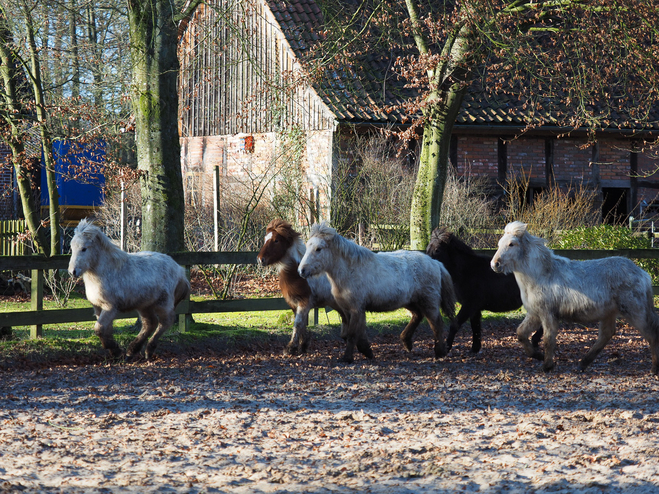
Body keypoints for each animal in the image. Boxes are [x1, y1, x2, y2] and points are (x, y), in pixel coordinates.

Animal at [68, 219, 189, 358]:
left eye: (84, 249)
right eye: (72, 248)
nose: (72, 272)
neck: (105, 272)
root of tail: (179, 270)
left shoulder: (110, 307)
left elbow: (99, 329)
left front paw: (116, 350)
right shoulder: (98, 307)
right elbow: (105, 330)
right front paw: (115, 351)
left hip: (163, 304)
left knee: (165, 322)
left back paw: (149, 349)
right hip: (145, 305)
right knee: (150, 323)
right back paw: (132, 350)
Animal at [258, 220, 350, 356]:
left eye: (276, 240)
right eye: (265, 239)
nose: (260, 259)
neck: (298, 275)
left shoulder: (304, 302)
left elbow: (298, 323)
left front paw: (290, 348)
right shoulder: (293, 304)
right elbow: (301, 324)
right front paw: (302, 345)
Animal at [298, 223, 456, 362]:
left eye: (319, 249)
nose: (302, 270)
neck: (350, 270)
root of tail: (435, 263)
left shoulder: (356, 309)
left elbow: (352, 335)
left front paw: (347, 358)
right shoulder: (351, 310)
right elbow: (355, 334)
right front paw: (366, 351)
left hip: (429, 302)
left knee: (436, 324)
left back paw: (440, 352)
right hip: (411, 302)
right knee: (418, 315)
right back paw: (407, 342)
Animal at [426, 226, 544, 354]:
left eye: (437, 250)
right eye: (428, 248)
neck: (468, 271)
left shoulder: (469, 305)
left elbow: (455, 325)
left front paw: (446, 348)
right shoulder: (474, 309)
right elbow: (475, 327)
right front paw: (475, 348)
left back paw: (535, 340)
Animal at [492, 221, 656, 374]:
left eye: (511, 244)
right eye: (499, 243)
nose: (495, 264)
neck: (541, 275)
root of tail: (643, 274)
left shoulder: (548, 315)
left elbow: (548, 340)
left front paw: (547, 366)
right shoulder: (535, 314)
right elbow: (521, 333)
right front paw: (537, 355)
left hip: (635, 312)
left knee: (651, 333)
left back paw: (655, 368)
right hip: (609, 313)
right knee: (606, 334)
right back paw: (582, 364)